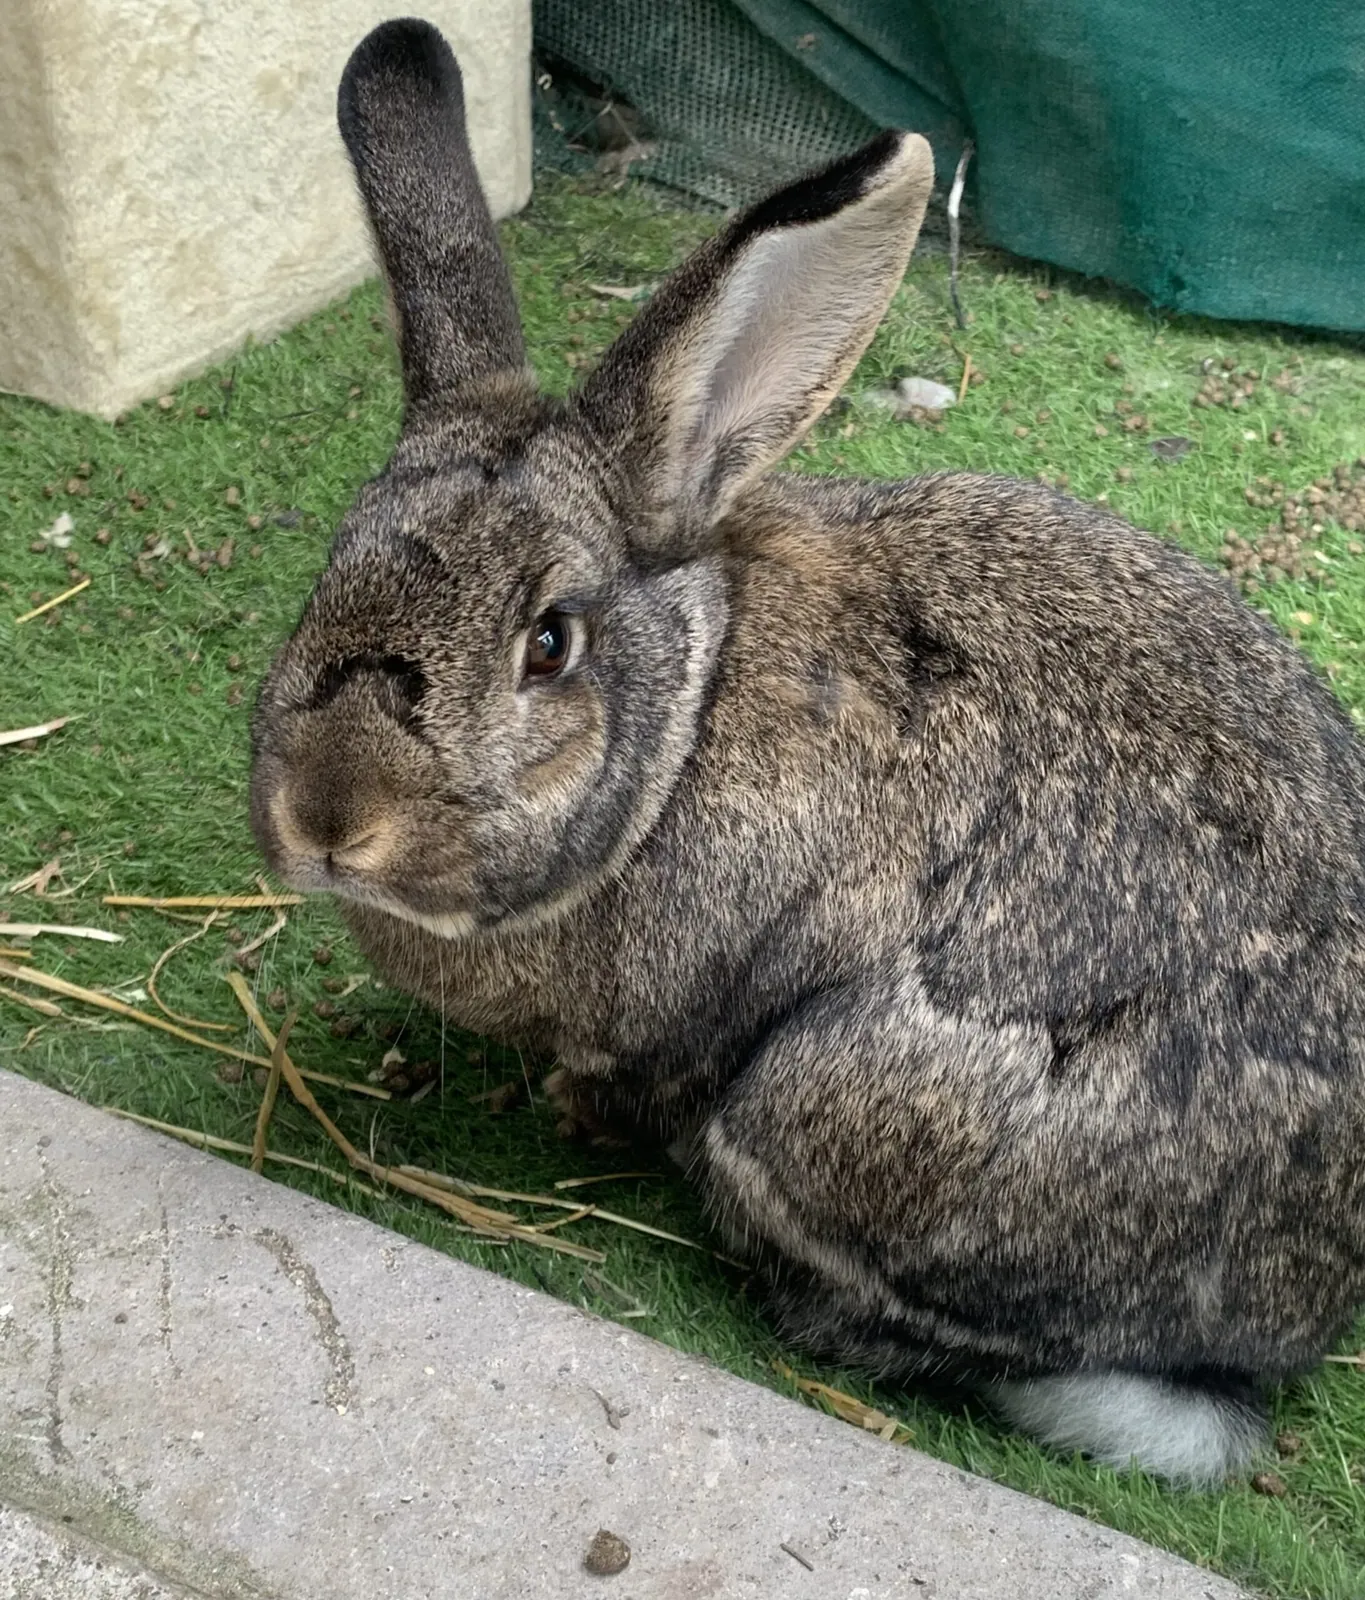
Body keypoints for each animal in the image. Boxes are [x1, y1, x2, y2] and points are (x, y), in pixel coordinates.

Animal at [249, 17, 1365, 1487]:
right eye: (332, 570)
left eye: (548, 642)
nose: (328, 818)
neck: (682, 731)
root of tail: (1302, 1309)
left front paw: (568, 1111)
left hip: (829, 1109)